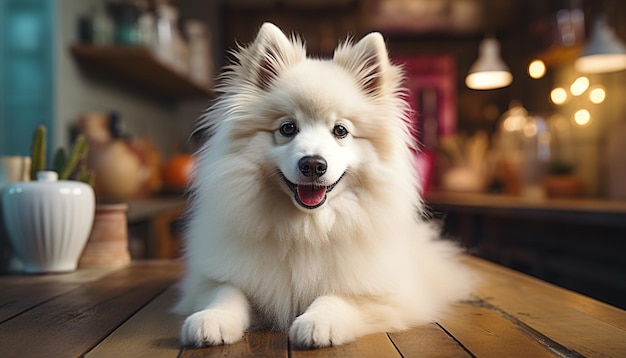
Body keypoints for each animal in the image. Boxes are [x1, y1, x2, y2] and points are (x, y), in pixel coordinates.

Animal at [173, 21, 470, 346]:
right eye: (287, 128)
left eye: (340, 130)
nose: (313, 164)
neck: (307, 228)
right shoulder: (210, 279)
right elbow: (226, 291)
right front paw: (212, 319)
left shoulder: (391, 295)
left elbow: (340, 295)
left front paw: (319, 322)